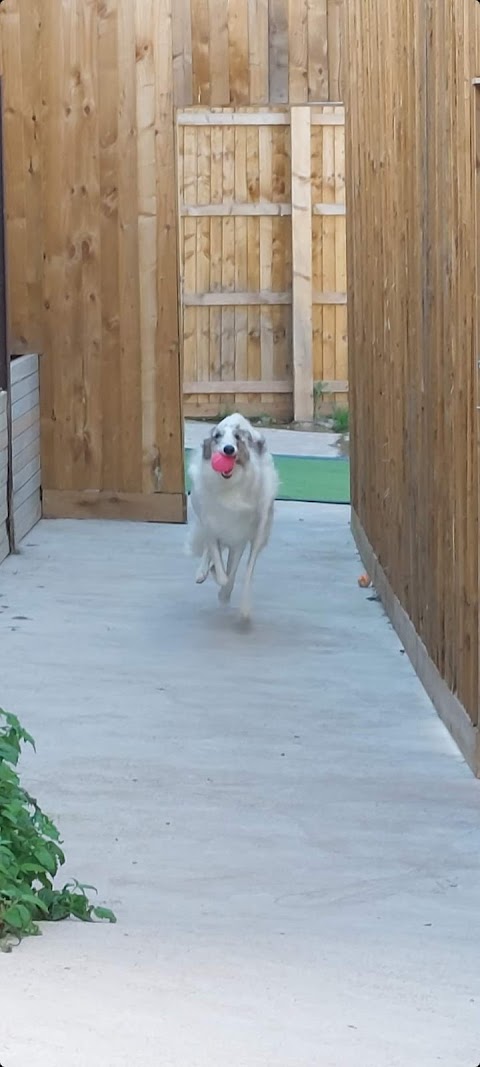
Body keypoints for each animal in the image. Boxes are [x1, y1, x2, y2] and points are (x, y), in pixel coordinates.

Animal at [186, 411, 279, 623]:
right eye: (217, 436)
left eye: (237, 438)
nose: (228, 449)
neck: (228, 488)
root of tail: (236, 416)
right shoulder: (211, 525)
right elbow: (221, 570)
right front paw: (212, 573)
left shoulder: (240, 538)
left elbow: (234, 573)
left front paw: (228, 597)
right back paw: (202, 572)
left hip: (260, 528)